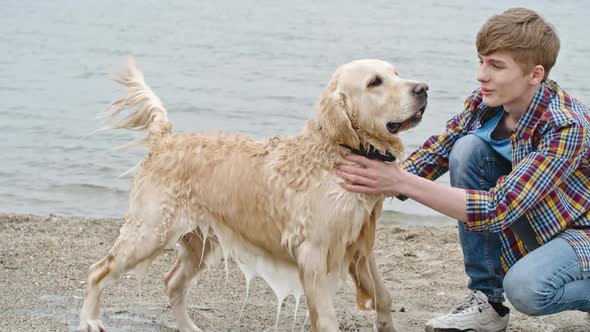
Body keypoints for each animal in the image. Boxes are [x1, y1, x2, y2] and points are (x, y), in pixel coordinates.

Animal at [80, 58, 430, 330]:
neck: (337, 152)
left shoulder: (359, 244)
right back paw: (90, 320)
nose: (423, 88)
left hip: (200, 243)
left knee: (172, 282)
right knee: (98, 270)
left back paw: (187, 326)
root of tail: (164, 140)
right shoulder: (313, 253)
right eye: (375, 82)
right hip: (150, 232)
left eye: (396, 72)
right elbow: (328, 319)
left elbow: (383, 296)